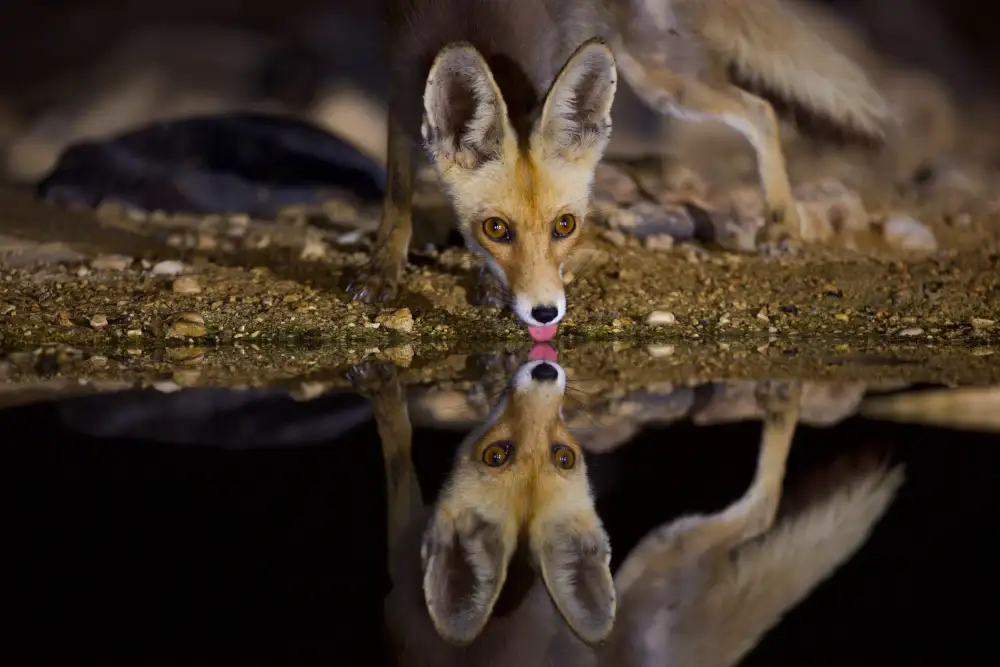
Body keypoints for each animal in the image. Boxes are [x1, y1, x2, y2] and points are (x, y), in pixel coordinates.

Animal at [345, 0, 890, 341]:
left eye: (566, 226)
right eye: (495, 228)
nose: (545, 311)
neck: (472, 21)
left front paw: (485, 283)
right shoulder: (401, 99)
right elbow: (396, 201)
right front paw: (381, 270)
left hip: (653, 68)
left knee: (761, 110)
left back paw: (781, 221)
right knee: (760, 108)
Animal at [349, 356, 905, 665]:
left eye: (564, 456)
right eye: (497, 455)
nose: (546, 370)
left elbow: (395, 442)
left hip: (665, 546)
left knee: (763, 509)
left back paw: (784, 393)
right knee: (761, 513)